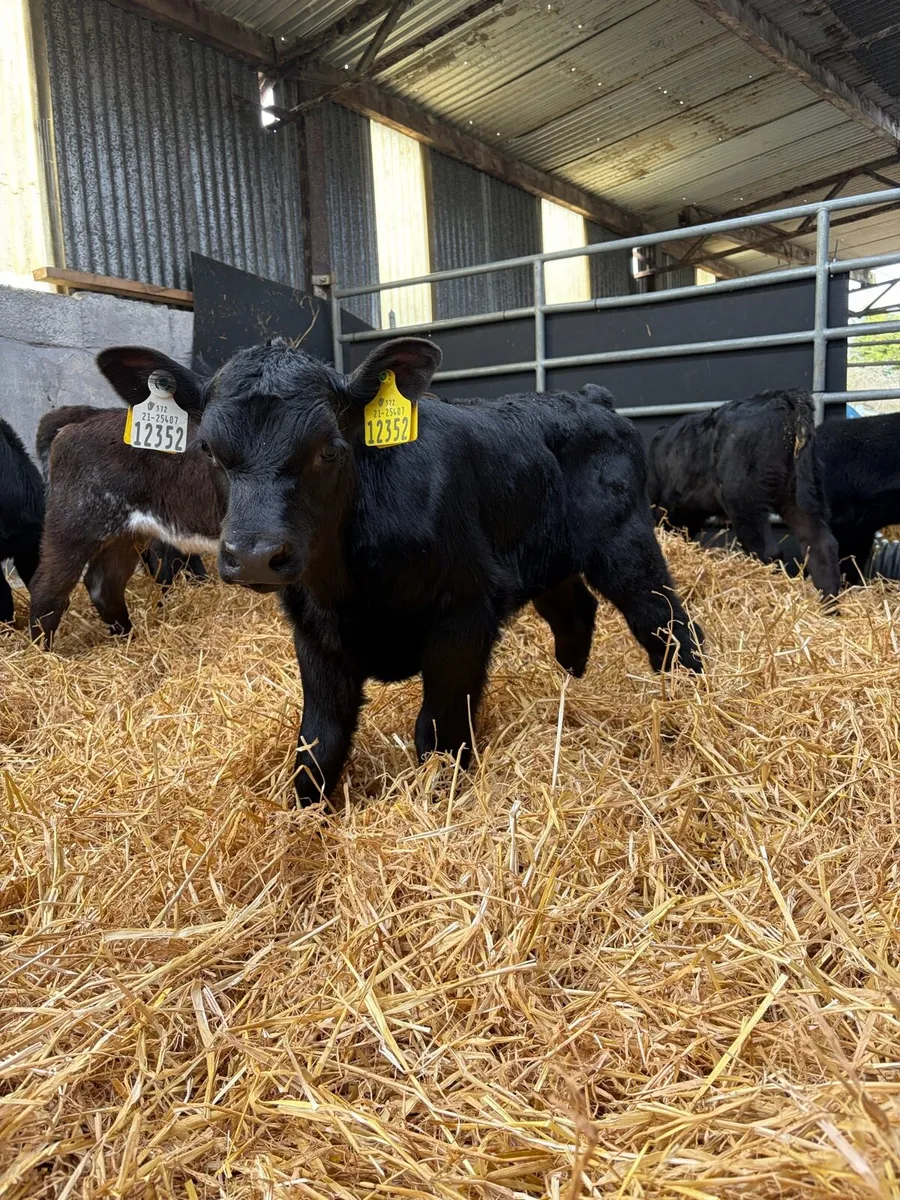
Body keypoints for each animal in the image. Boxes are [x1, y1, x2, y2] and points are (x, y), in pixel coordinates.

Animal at [29, 405, 223, 642]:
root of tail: (90, 415)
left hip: (126, 535)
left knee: (104, 586)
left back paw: (128, 638)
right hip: (74, 527)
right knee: (46, 591)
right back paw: (42, 649)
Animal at [97, 338, 704, 807]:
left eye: (329, 448)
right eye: (207, 450)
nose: (254, 554)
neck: (348, 587)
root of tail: (589, 399)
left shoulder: (464, 616)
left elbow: (438, 735)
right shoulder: (313, 634)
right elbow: (318, 746)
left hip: (625, 542)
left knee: (667, 623)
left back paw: (691, 702)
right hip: (548, 562)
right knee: (576, 614)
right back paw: (568, 691)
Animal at [647, 389, 840, 598]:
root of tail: (782, 396)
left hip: (744, 502)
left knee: (769, 550)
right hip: (802, 496)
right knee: (821, 545)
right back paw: (828, 602)